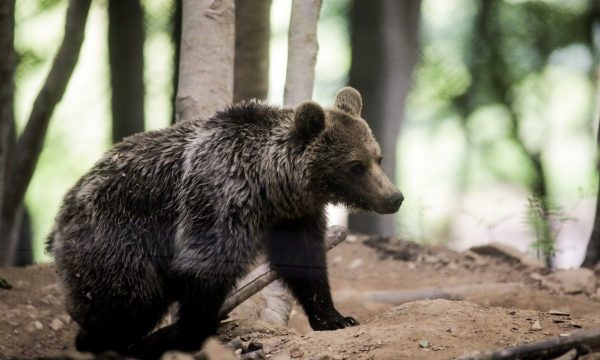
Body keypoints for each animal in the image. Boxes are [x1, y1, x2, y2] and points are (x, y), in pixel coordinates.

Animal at [45, 86, 404, 358]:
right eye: (355, 165)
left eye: (378, 157)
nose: (394, 197)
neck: (271, 187)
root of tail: (63, 210)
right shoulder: (219, 201)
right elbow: (209, 266)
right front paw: (193, 332)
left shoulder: (294, 216)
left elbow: (305, 264)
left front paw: (336, 318)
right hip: (116, 235)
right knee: (128, 298)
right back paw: (102, 341)